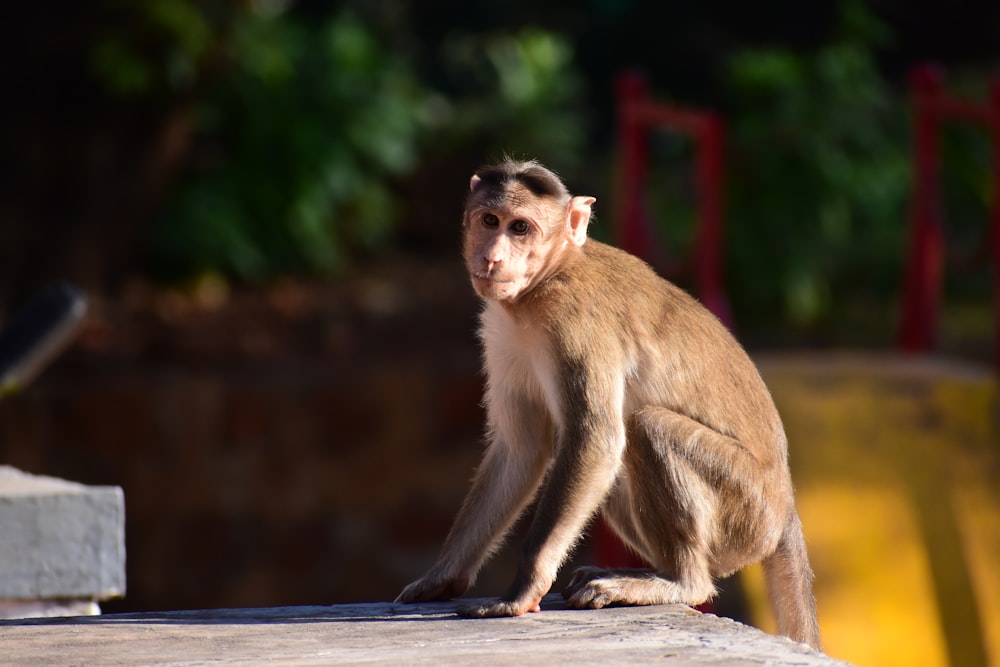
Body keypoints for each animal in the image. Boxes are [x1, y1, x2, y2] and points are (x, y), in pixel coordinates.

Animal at [394, 159, 824, 648]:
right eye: (490, 220)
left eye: (520, 227)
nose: (492, 256)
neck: (544, 281)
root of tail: (786, 506)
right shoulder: (502, 333)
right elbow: (522, 449)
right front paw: (443, 577)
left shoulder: (573, 321)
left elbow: (594, 439)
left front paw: (524, 587)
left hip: (748, 511)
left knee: (646, 428)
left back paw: (680, 582)